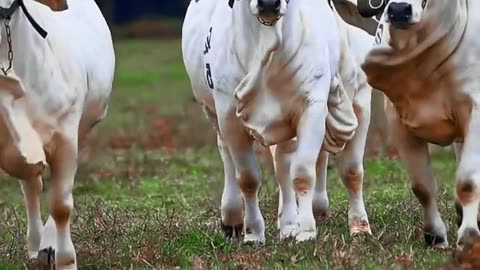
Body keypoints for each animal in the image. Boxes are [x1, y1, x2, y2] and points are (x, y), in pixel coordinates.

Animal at [184, 0, 376, 243]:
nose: (268, 3)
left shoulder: (322, 106)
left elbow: (316, 172)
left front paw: (311, 230)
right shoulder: (228, 115)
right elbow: (247, 178)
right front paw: (253, 233)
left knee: (292, 164)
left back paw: (299, 220)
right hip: (214, 114)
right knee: (230, 156)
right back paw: (235, 218)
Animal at [364, 0, 480, 248]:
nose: (399, 10)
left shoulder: (475, 114)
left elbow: (467, 181)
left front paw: (468, 235)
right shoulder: (399, 124)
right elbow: (422, 187)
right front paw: (435, 236)